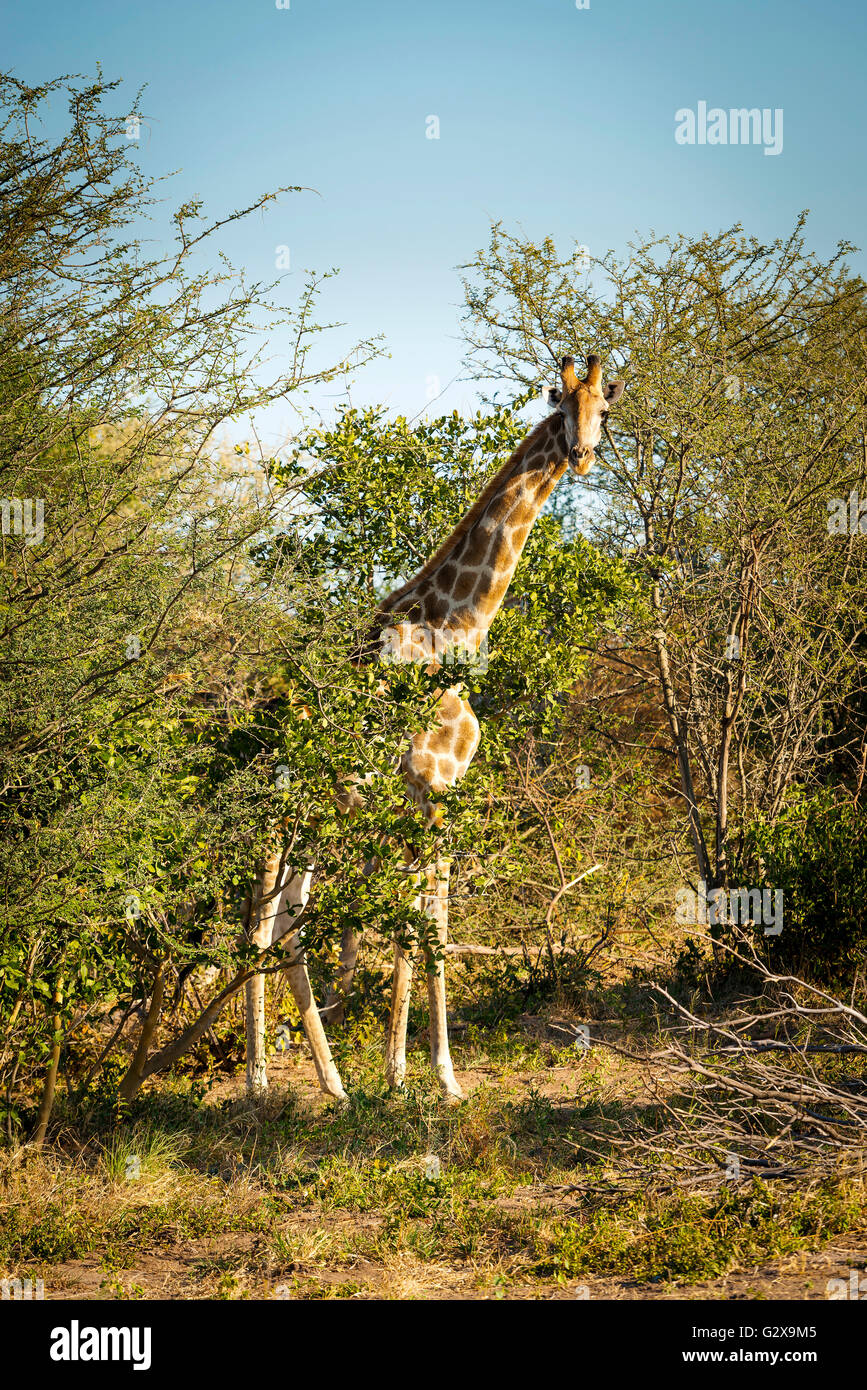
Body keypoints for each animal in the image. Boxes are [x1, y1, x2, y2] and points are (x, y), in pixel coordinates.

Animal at [244, 353, 622, 1100]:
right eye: (559, 405)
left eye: (603, 407)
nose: (583, 454)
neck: (455, 627)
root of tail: (263, 718)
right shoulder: (432, 788)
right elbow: (423, 928)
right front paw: (421, 1077)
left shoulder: (435, 796)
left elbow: (426, 925)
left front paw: (417, 1073)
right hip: (282, 807)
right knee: (258, 926)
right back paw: (259, 1082)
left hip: (316, 817)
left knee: (288, 922)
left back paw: (332, 1085)